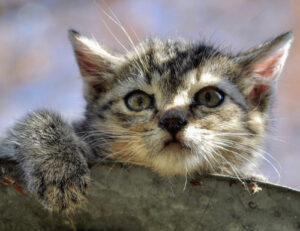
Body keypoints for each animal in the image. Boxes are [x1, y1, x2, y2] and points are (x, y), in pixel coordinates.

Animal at [0, 29, 292, 212]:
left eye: (210, 97)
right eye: (138, 101)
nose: (173, 120)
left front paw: (247, 174)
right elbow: (34, 122)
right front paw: (60, 168)